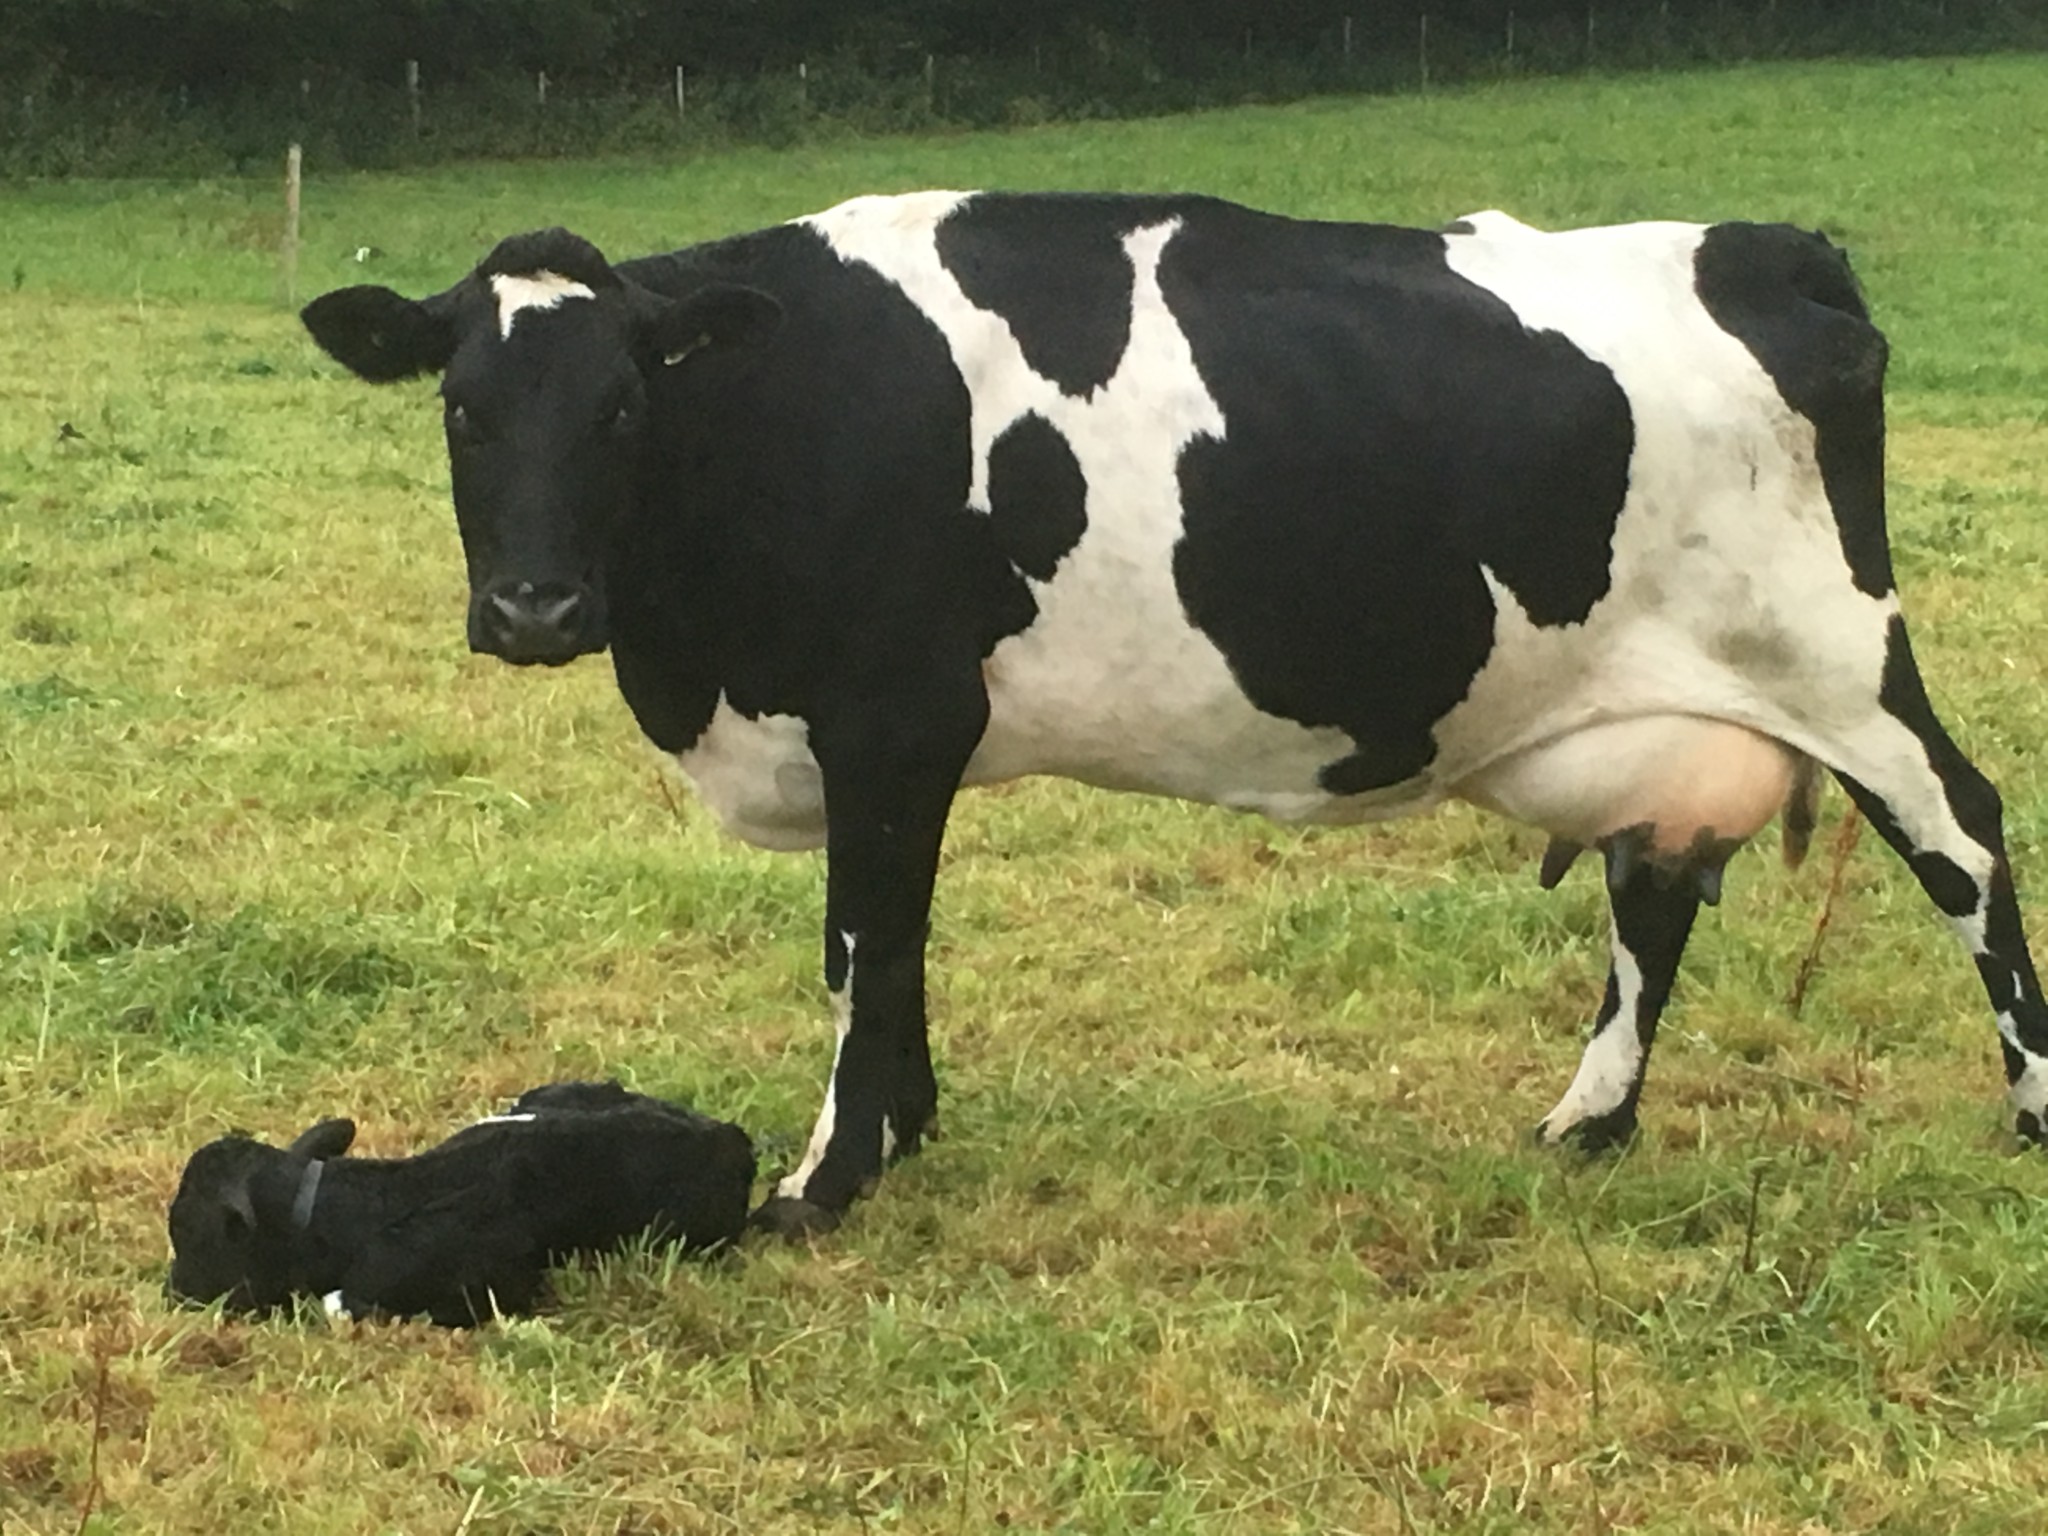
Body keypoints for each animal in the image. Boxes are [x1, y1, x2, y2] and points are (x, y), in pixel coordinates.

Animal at [299, 198, 2048, 1245]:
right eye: (462, 407)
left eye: (621, 406)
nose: (535, 609)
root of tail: (1762, 244)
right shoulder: (911, 743)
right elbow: (900, 940)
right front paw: (907, 1134)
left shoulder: (887, 715)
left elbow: (861, 942)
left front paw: (826, 1178)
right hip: (1669, 705)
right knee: (1656, 885)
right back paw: (1586, 1124)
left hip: (1841, 659)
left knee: (1967, 840)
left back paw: (2031, 1116)